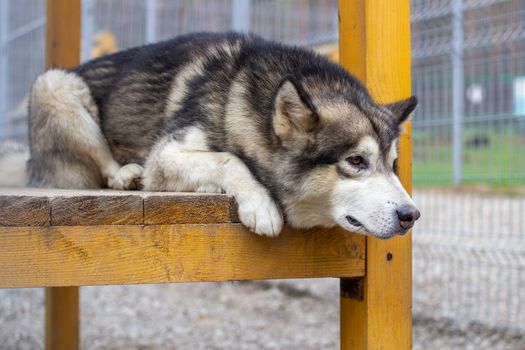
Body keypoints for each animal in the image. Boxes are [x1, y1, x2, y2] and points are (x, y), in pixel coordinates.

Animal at [24, 32, 420, 238]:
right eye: (356, 161)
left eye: (393, 166)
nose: (410, 215)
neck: (241, 100)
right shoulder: (165, 156)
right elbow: (229, 159)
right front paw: (261, 205)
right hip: (53, 86)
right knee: (105, 165)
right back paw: (125, 175)